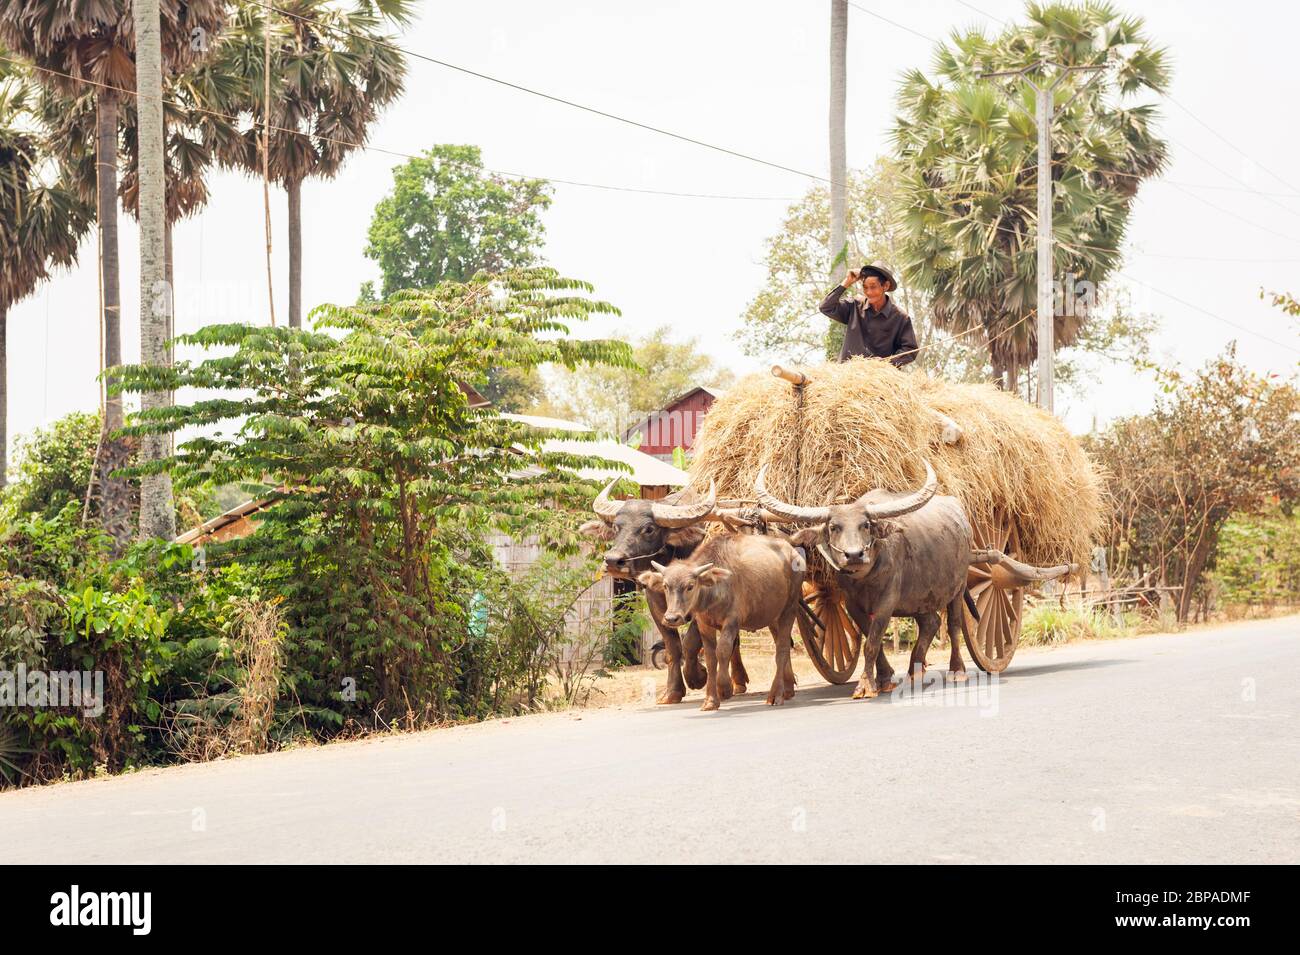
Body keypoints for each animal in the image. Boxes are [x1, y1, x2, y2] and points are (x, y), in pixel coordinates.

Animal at [582, 480, 754, 706]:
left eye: (649, 529)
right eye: (617, 527)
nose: (612, 561)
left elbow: (690, 643)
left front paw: (697, 677)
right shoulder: (655, 604)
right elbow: (672, 647)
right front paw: (673, 691)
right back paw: (738, 682)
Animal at [634, 535, 806, 712]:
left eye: (690, 586)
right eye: (666, 586)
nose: (672, 618)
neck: (714, 592)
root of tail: (793, 551)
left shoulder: (732, 621)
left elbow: (722, 650)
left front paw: (724, 688)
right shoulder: (704, 625)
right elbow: (710, 658)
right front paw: (710, 700)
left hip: (789, 609)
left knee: (782, 649)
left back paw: (776, 694)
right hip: (772, 615)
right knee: (782, 644)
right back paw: (787, 689)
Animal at [754, 459, 977, 696]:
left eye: (866, 525)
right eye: (833, 527)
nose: (854, 555)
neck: (866, 580)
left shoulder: (887, 602)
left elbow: (872, 642)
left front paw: (865, 685)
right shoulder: (853, 604)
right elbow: (872, 639)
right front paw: (884, 678)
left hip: (959, 586)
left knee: (954, 624)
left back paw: (957, 670)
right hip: (919, 596)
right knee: (931, 622)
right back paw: (914, 671)